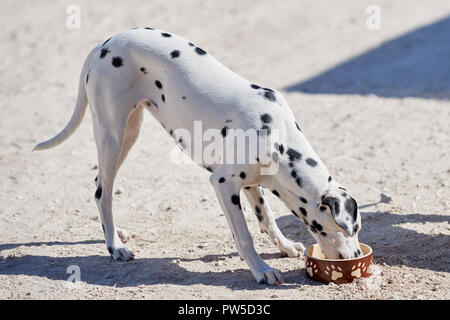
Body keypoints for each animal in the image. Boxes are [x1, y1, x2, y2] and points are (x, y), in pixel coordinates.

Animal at [33, 28, 360, 284]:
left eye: (357, 229)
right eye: (342, 229)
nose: (357, 257)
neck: (277, 135)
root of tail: (106, 42)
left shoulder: (252, 184)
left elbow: (266, 218)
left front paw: (285, 246)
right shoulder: (223, 183)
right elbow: (244, 235)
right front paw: (261, 270)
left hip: (129, 134)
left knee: (101, 185)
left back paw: (118, 233)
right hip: (111, 136)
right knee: (103, 192)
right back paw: (114, 247)